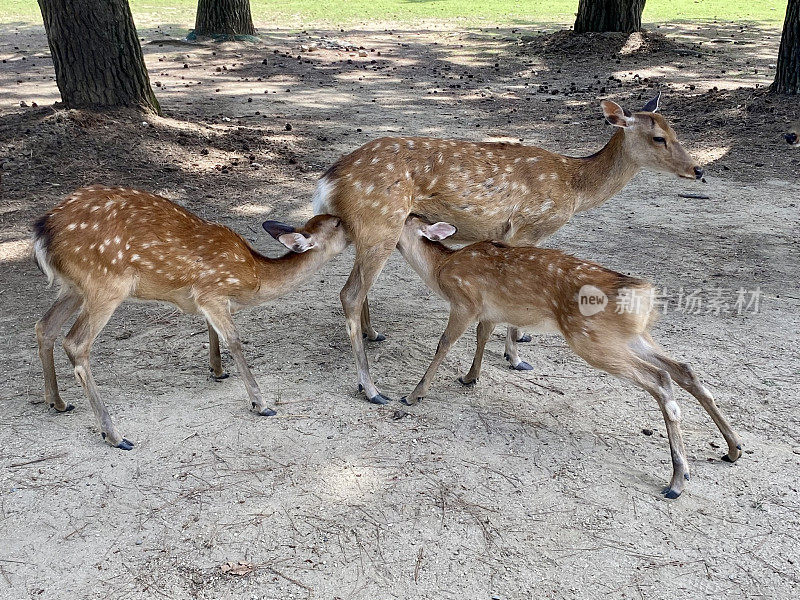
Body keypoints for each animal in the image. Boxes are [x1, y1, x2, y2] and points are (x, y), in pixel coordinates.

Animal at [32, 185, 346, 448]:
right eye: (338, 223)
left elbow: (212, 330)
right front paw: (261, 403)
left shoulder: (207, 300)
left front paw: (217, 370)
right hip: (105, 284)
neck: (254, 278)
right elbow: (234, 339)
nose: (350, 223)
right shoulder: (212, 290)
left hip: (74, 287)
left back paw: (57, 402)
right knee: (75, 343)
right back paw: (114, 434)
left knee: (44, 326)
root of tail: (42, 232)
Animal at [310, 92, 700, 404]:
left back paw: (373, 334)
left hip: (366, 229)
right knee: (350, 292)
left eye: (676, 131)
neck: (574, 187)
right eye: (658, 138)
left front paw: (517, 343)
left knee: (358, 288)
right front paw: (515, 355)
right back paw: (371, 388)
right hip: (381, 222)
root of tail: (327, 181)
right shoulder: (524, 227)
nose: (697, 170)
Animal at [396, 214, 740, 496]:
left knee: (660, 378)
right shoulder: (491, 311)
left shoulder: (465, 302)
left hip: (590, 340)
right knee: (683, 368)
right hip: (631, 336)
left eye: (404, 217)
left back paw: (677, 480)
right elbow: (482, 337)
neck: (441, 270)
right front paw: (470, 377)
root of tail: (643, 295)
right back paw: (733, 448)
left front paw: (414, 394)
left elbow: (444, 343)